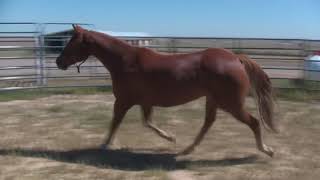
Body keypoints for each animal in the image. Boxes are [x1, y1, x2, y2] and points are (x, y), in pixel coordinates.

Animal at [56, 24, 276, 157]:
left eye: (72, 42)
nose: (58, 62)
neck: (125, 61)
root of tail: (235, 58)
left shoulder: (123, 101)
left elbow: (116, 122)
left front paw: (104, 145)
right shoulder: (144, 102)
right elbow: (148, 122)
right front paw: (171, 138)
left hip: (231, 103)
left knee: (254, 122)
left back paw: (267, 150)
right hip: (213, 100)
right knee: (208, 123)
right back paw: (187, 149)